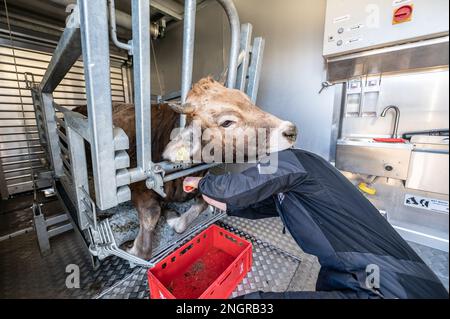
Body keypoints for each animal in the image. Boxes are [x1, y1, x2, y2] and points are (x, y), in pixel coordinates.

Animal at [74, 77, 298, 260]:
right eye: (227, 122)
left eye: (249, 101)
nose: (291, 130)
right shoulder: (138, 186)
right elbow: (150, 223)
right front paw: (133, 247)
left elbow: (200, 206)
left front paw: (173, 218)